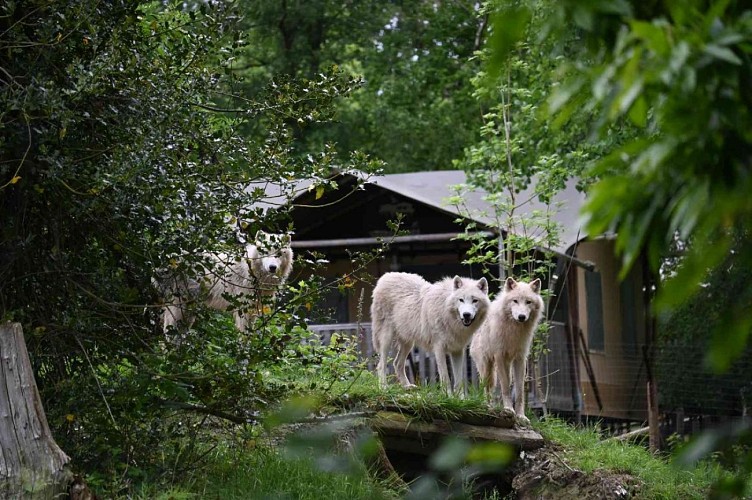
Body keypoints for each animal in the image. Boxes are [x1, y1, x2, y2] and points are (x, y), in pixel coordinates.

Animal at [158, 232, 293, 333]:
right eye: (264, 252)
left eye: (279, 254)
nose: (272, 267)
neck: (250, 272)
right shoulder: (243, 309)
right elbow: (244, 336)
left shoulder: (253, 310)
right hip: (179, 309)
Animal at [470, 277, 544, 425]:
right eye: (515, 301)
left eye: (528, 302)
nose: (521, 316)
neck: (514, 330)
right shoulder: (499, 356)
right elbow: (504, 389)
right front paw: (509, 410)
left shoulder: (520, 359)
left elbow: (520, 392)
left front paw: (521, 416)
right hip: (486, 367)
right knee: (486, 387)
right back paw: (488, 407)